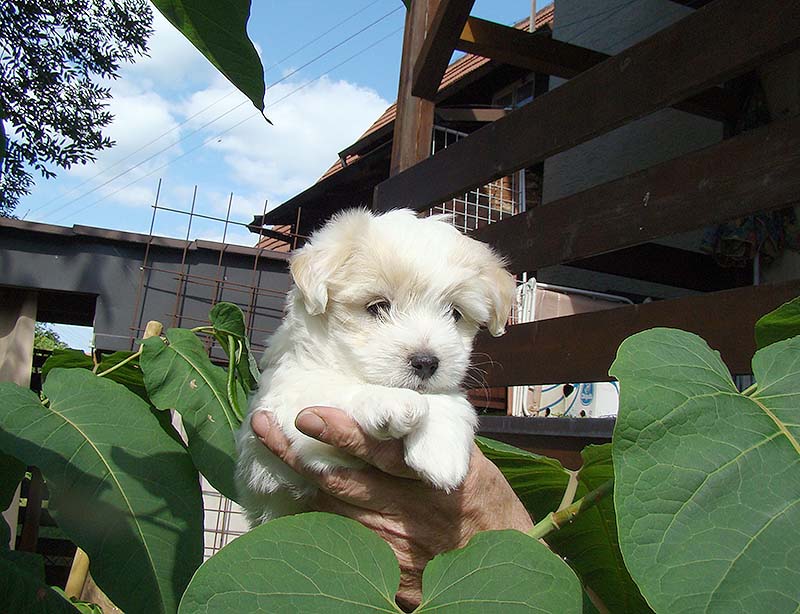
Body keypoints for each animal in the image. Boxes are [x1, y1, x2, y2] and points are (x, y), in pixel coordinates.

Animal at [235, 208, 516, 525]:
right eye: (378, 306)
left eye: (455, 314)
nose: (426, 362)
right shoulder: (274, 421)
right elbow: (327, 388)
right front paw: (390, 400)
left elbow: (448, 398)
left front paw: (441, 451)